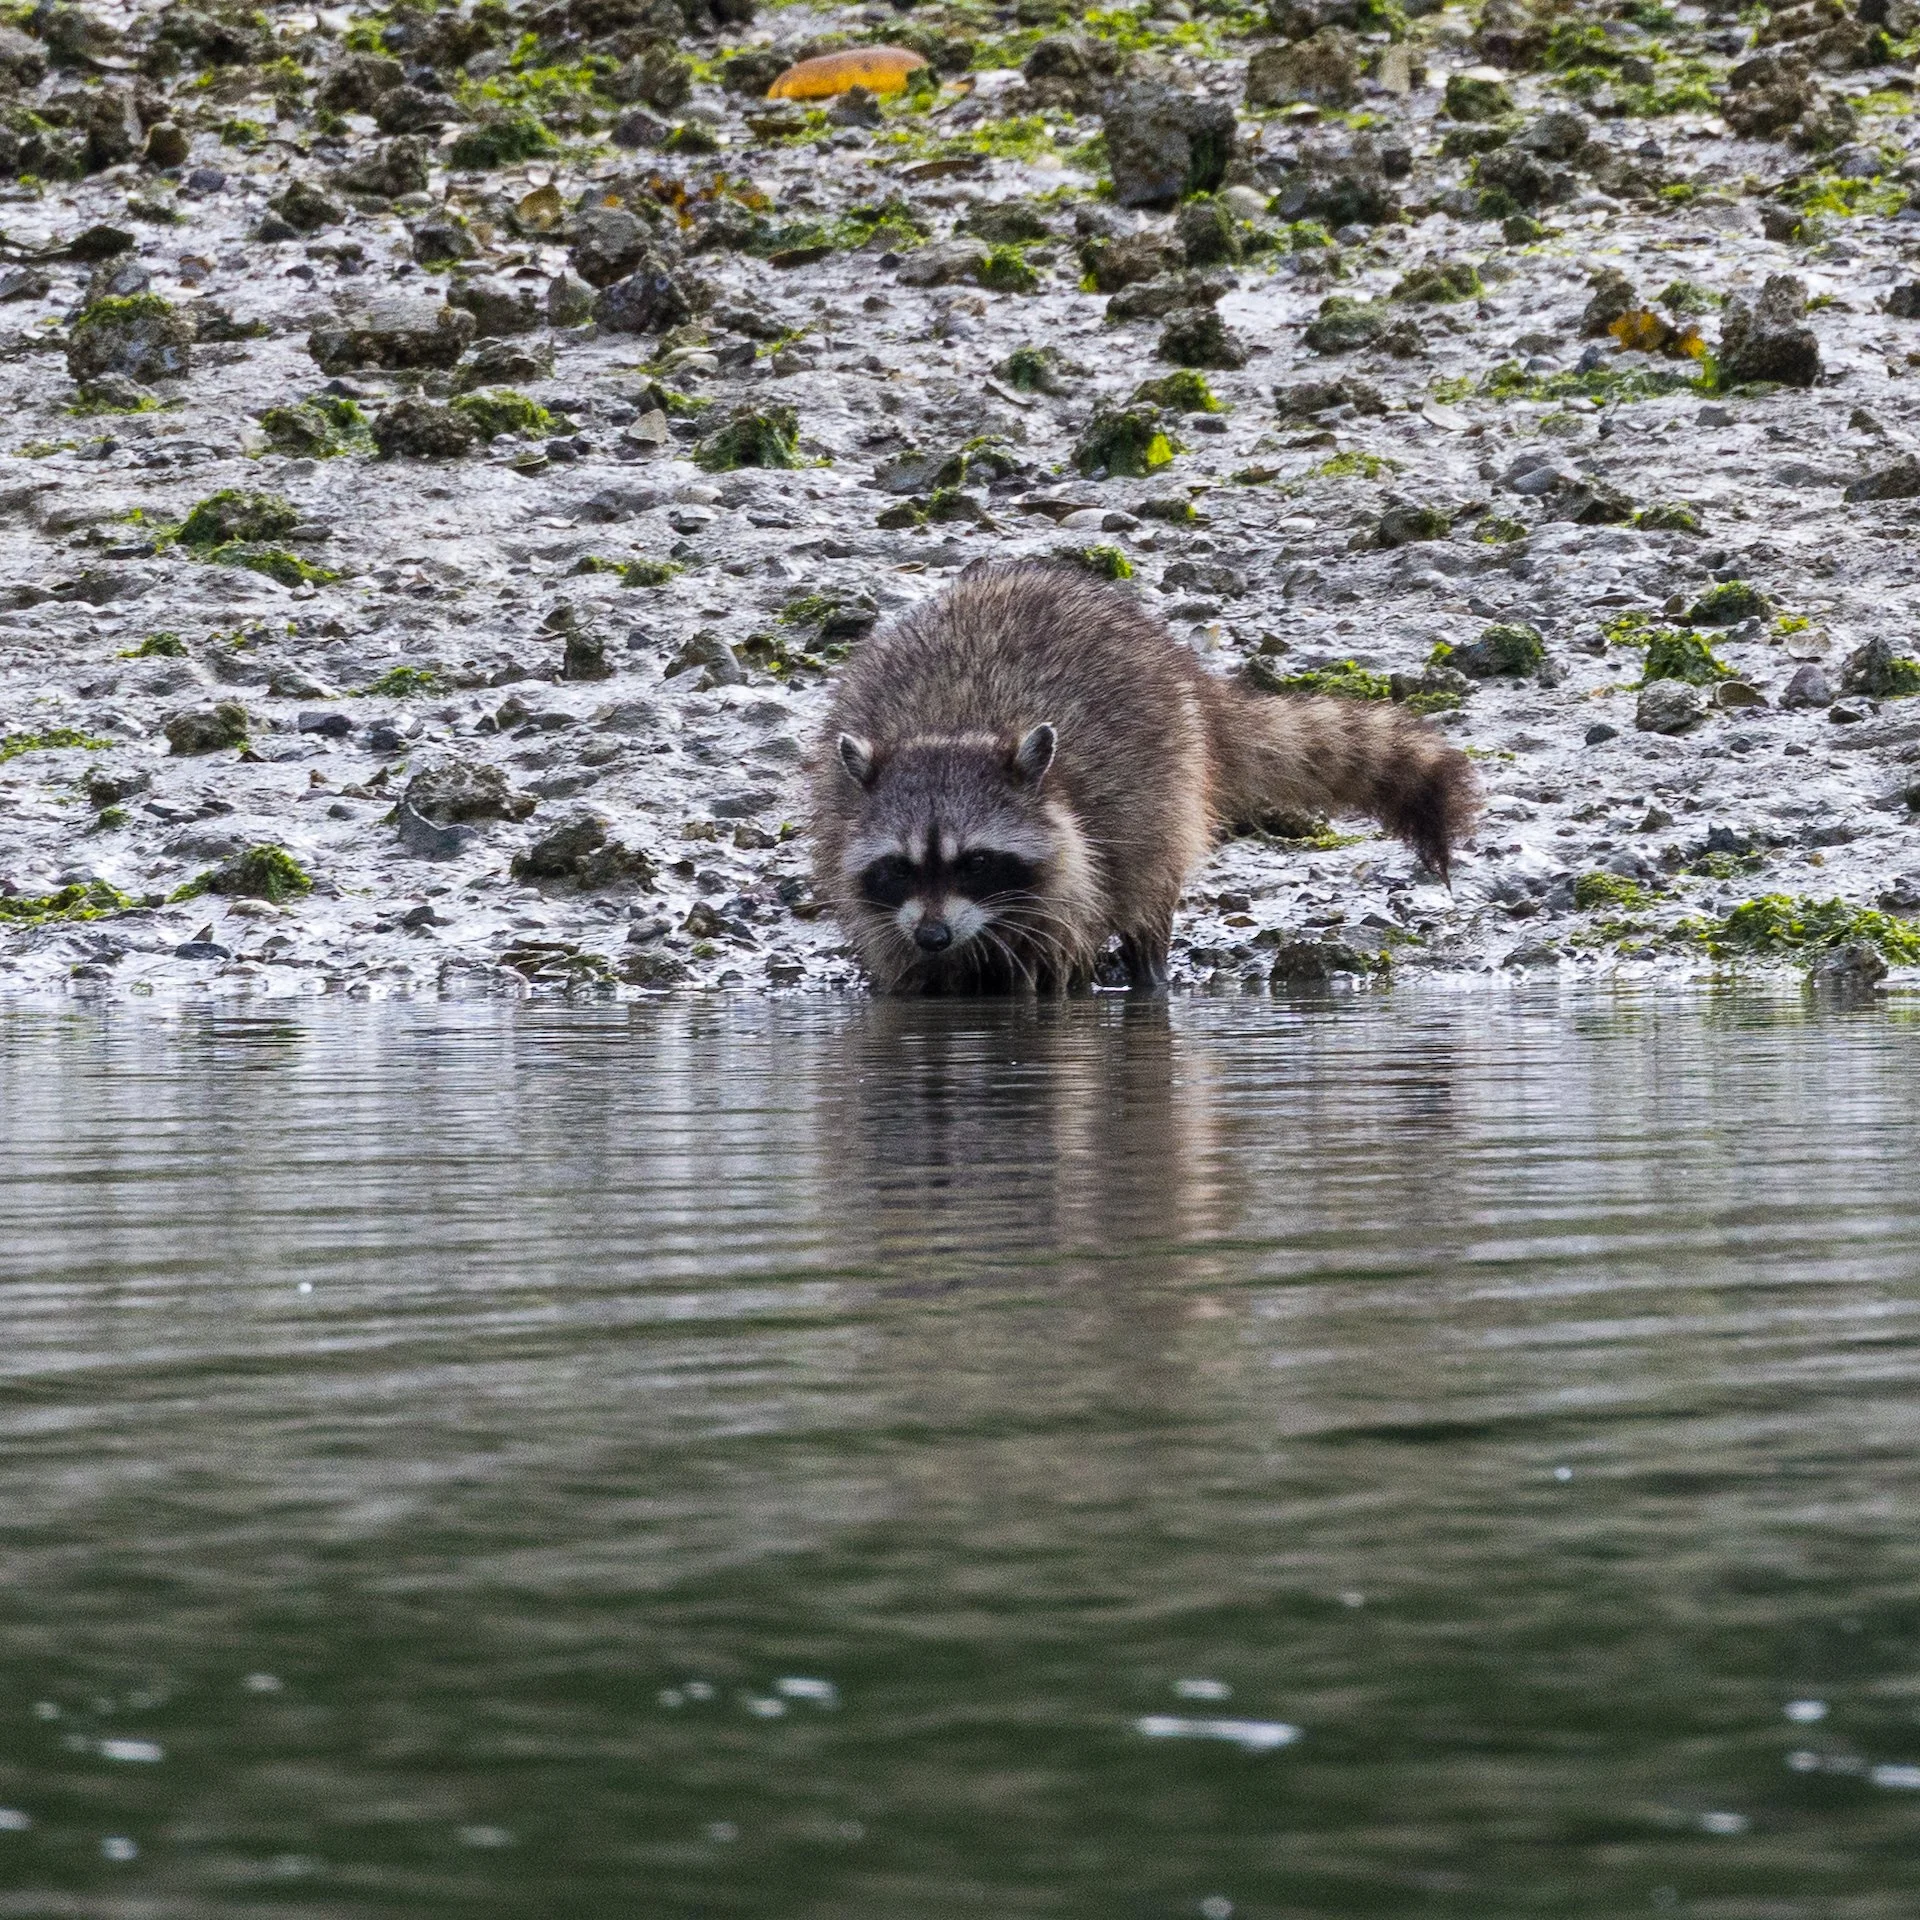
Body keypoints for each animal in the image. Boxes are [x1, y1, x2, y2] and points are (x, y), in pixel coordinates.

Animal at [809, 561, 1479, 993]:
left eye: (974, 862)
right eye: (900, 867)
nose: (934, 935)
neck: (952, 731)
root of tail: (1181, 669)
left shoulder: (1077, 873)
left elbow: (1056, 964)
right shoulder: (857, 856)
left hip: (1165, 784)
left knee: (1148, 887)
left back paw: (1148, 971)